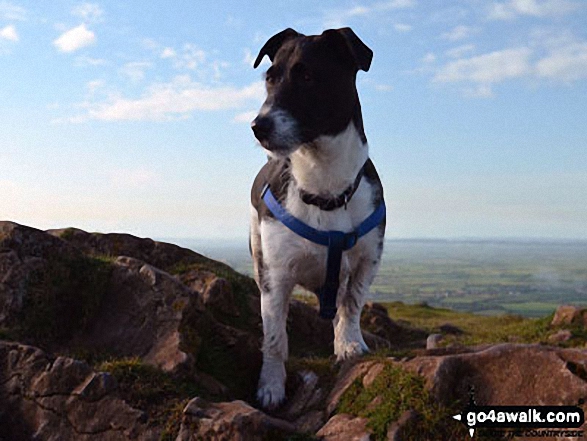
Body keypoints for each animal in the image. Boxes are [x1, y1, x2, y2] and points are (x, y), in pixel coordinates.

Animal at [248, 28, 386, 410]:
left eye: (307, 76)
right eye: (270, 77)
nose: (258, 126)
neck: (325, 187)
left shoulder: (369, 257)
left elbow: (351, 303)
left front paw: (349, 343)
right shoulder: (276, 276)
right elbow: (274, 337)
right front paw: (271, 385)